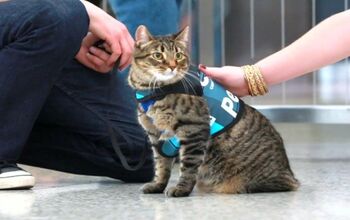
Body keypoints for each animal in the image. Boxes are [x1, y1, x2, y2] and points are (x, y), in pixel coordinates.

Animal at [127, 24, 300, 197]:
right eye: (157, 55)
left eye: (178, 55)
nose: (172, 66)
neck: (153, 92)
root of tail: (290, 175)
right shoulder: (156, 137)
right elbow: (161, 166)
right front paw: (157, 185)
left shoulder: (194, 130)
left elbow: (188, 167)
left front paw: (181, 189)